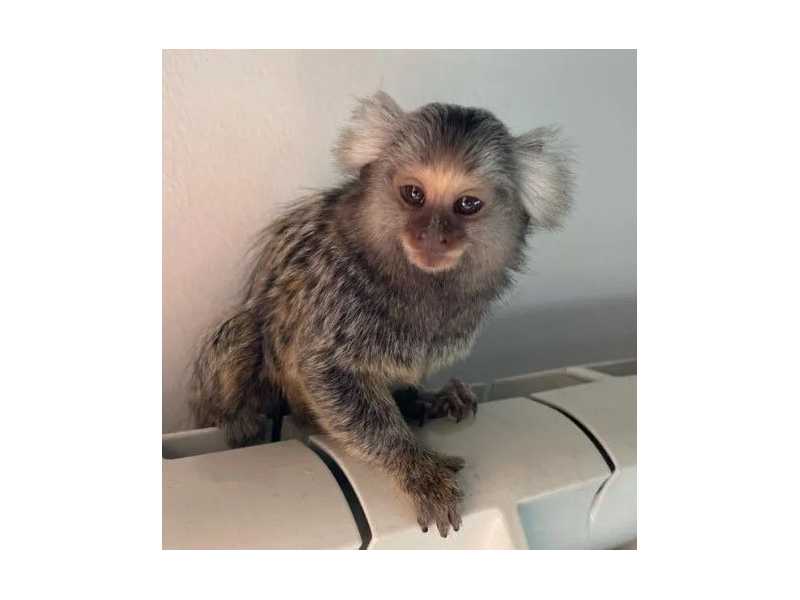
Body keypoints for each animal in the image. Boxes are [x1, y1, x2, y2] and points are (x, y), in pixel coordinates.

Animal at [189, 91, 574, 537]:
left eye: (467, 204)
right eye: (414, 194)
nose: (432, 235)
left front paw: (428, 399)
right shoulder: (335, 292)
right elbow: (327, 374)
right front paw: (416, 470)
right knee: (245, 331)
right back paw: (243, 422)